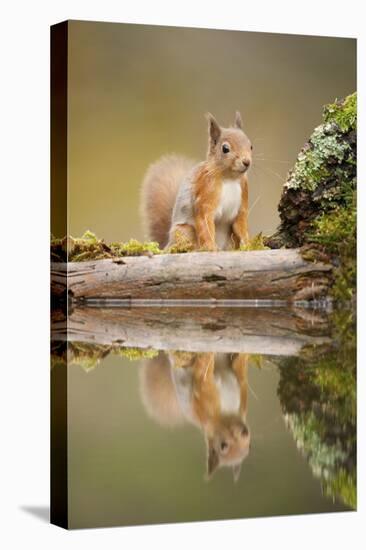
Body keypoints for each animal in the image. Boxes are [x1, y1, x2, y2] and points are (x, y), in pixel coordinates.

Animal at [140, 113, 252, 251]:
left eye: (251, 146)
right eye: (225, 149)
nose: (246, 162)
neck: (229, 178)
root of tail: (168, 243)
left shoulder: (242, 200)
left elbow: (241, 227)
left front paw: (248, 244)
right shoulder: (205, 195)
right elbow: (205, 224)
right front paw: (210, 247)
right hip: (185, 232)